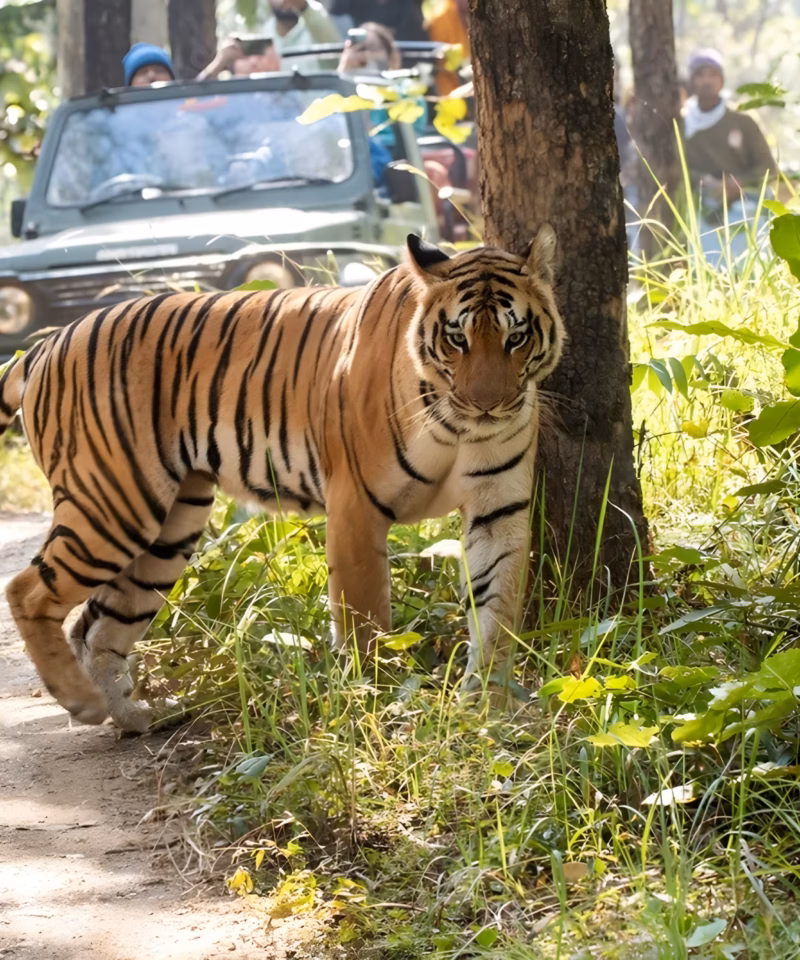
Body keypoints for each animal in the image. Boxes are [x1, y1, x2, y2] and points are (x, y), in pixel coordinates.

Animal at [0, 229, 564, 733]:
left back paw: (133, 716)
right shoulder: (356, 506)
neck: (457, 425)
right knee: (27, 591)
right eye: (456, 338)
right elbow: (365, 621)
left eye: (516, 337)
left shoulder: (498, 508)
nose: (487, 404)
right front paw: (375, 703)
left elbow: (496, 609)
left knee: (96, 625)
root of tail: (46, 343)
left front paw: (488, 707)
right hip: (115, 502)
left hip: (167, 529)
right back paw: (82, 703)